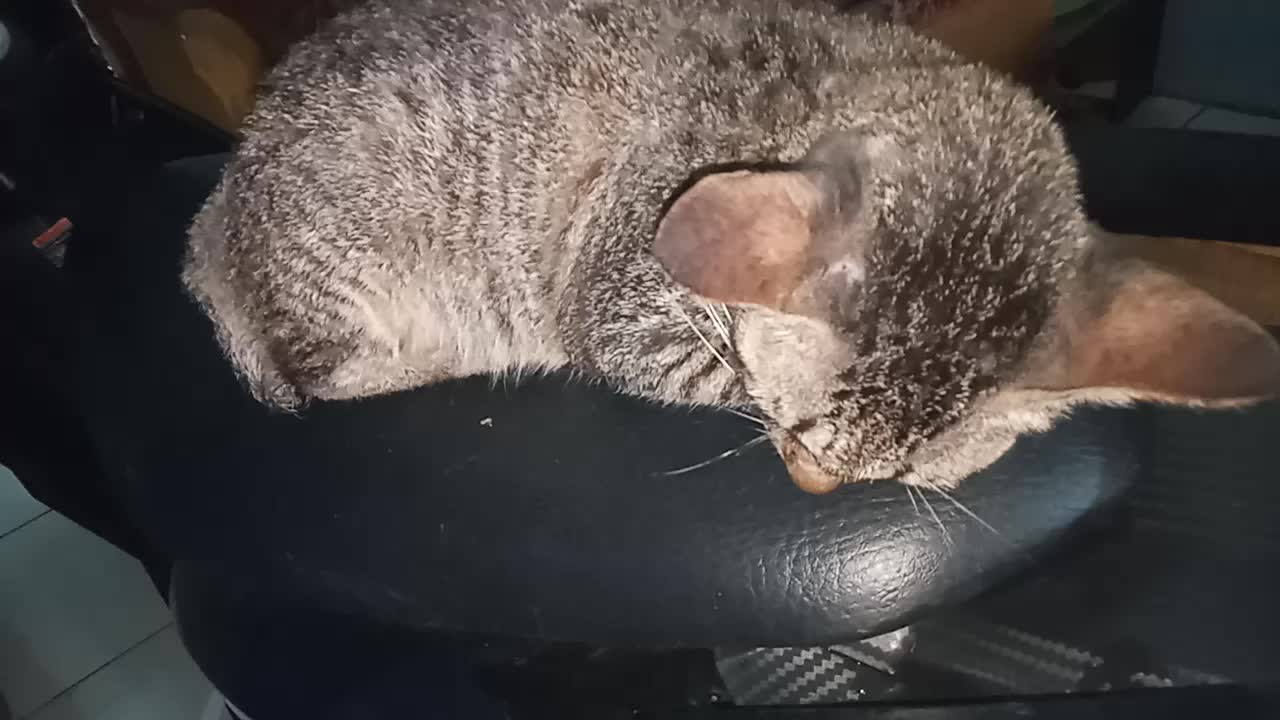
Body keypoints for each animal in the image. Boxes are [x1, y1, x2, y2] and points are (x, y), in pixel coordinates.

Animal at [183, 0, 1280, 491]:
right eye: (797, 438)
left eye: (892, 482)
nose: (810, 489)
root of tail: (224, 197)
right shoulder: (622, 305)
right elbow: (714, 370)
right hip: (343, 270)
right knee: (320, 370)